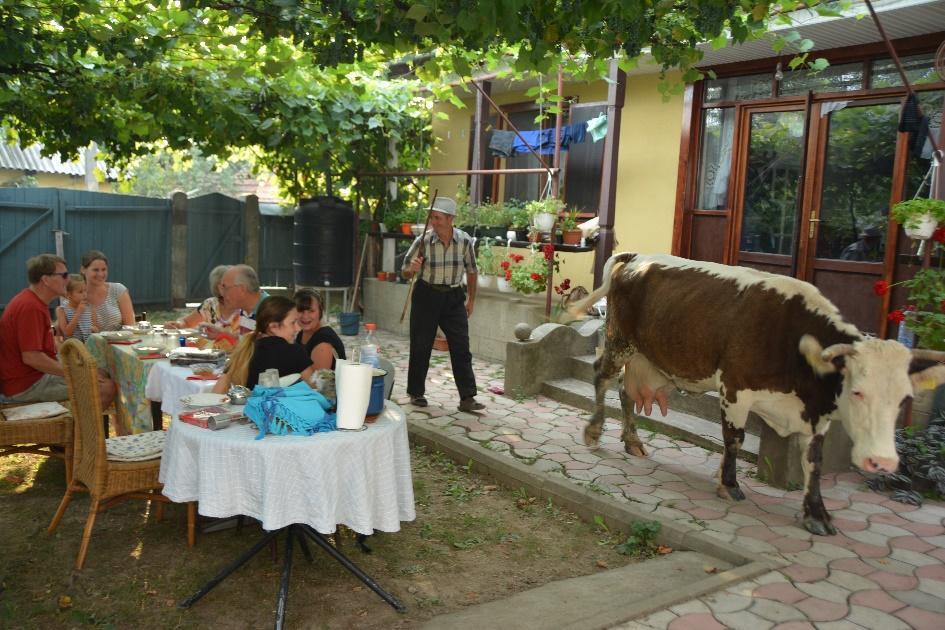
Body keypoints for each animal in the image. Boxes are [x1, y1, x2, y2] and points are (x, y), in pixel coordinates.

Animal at [568, 253, 944, 540]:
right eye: (857, 391)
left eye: (903, 399)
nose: (883, 462)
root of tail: (638, 258)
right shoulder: (736, 389)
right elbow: (734, 438)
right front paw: (729, 483)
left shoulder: (816, 413)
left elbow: (814, 462)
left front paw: (816, 513)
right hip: (619, 341)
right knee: (602, 376)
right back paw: (594, 431)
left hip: (651, 359)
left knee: (626, 391)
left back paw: (632, 440)